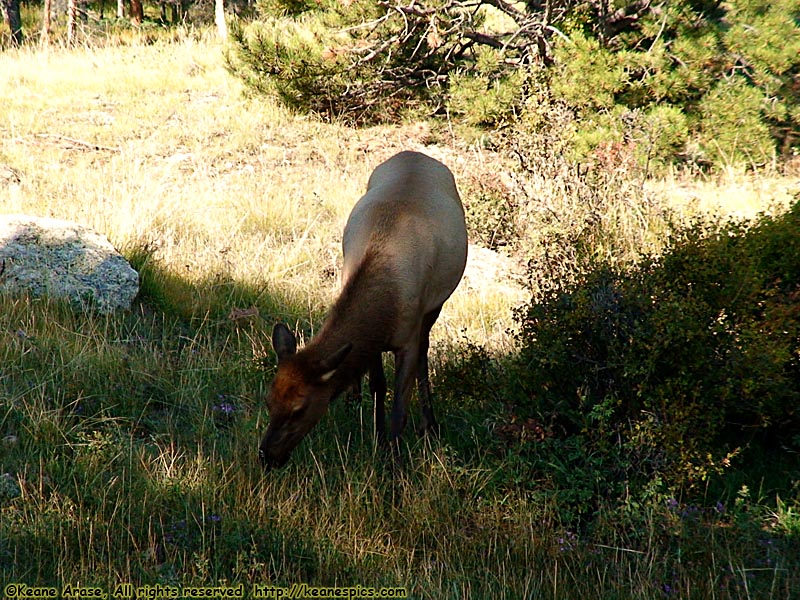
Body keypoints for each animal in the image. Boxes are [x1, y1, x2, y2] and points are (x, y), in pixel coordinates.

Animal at [256, 150, 468, 468]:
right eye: (269, 401)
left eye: (299, 409)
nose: (267, 455)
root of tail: (415, 153)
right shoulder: (373, 342)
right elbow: (378, 386)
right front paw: (378, 438)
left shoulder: (409, 335)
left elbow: (400, 405)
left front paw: (394, 456)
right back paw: (354, 396)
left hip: (435, 306)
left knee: (425, 351)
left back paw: (428, 423)